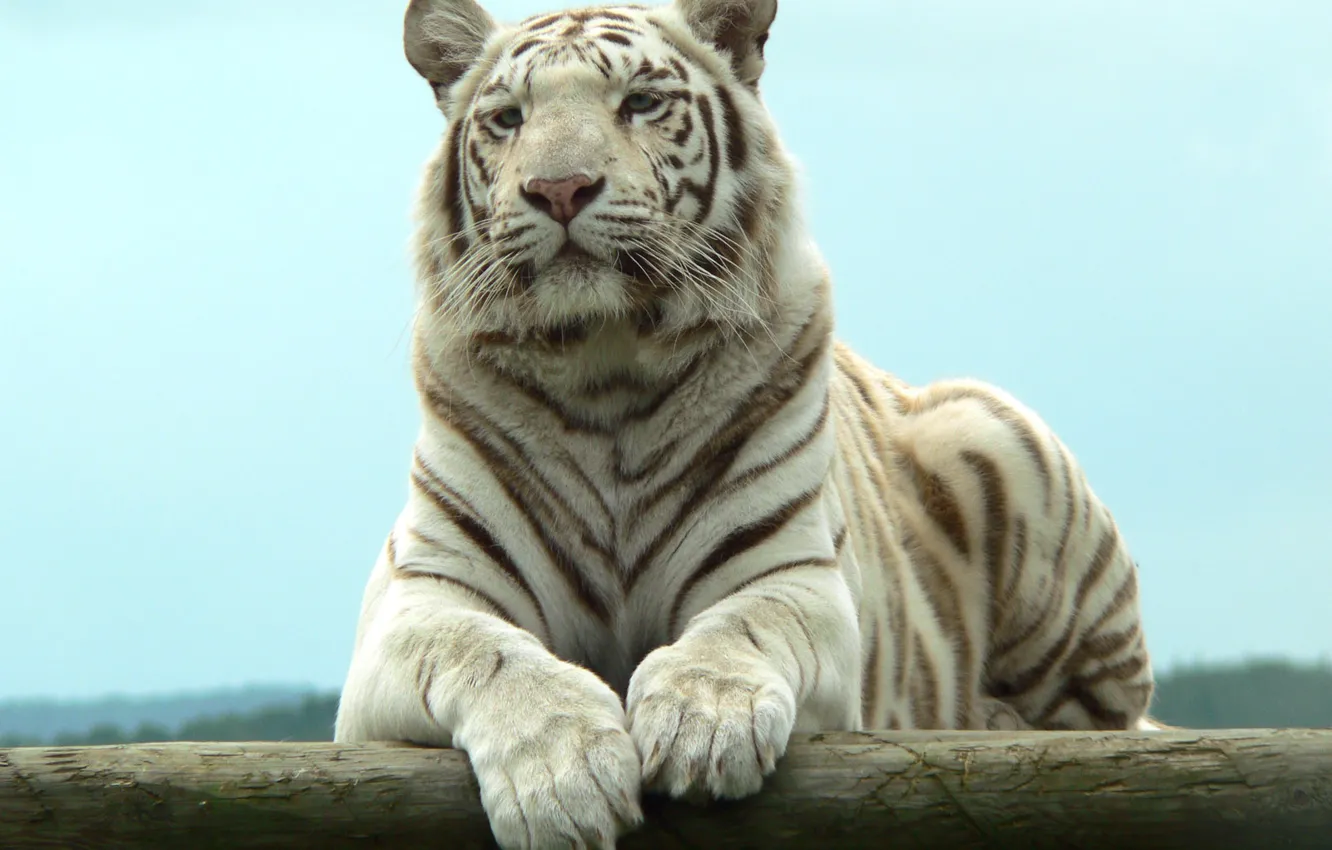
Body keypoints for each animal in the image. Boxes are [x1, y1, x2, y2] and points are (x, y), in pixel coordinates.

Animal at [332, 0, 1158, 847]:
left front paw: (701, 726)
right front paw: (563, 776)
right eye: (508, 118)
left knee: (1105, 720)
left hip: (992, 436)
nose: (559, 188)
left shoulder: (789, 574)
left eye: (639, 103)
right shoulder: (423, 599)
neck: (604, 368)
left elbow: (740, 629)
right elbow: (490, 654)